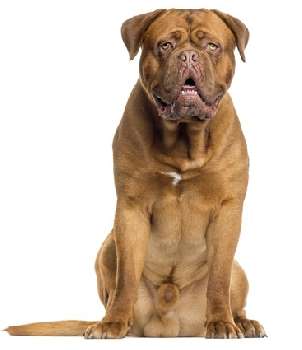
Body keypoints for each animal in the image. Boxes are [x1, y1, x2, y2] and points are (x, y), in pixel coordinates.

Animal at [5, 8, 266, 340]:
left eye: (211, 46)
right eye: (166, 45)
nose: (188, 56)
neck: (183, 138)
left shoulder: (227, 210)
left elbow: (219, 278)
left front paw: (221, 322)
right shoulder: (131, 209)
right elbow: (126, 276)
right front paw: (113, 323)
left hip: (239, 270)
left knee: (231, 285)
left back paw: (244, 322)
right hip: (106, 248)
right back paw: (109, 320)